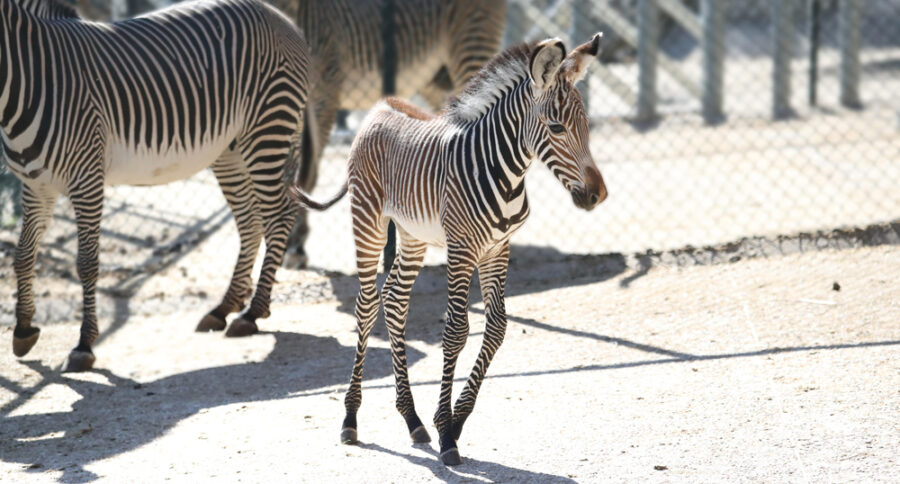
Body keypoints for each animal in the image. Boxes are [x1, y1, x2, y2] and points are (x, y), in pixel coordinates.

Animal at [3, 0, 312, 370]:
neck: (28, 81)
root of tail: (280, 17)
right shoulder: (36, 186)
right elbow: (23, 254)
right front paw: (23, 330)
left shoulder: (86, 179)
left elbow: (87, 263)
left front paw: (84, 345)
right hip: (230, 150)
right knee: (251, 222)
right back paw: (224, 307)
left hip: (267, 129)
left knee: (279, 216)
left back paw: (252, 312)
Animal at [292, 33, 608, 466]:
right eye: (557, 128)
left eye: (587, 126)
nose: (597, 195)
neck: (506, 173)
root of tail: (380, 107)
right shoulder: (461, 248)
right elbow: (457, 331)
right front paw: (446, 432)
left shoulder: (497, 248)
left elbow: (497, 328)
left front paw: (455, 422)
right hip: (367, 222)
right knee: (366, 305)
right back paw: (351, 419)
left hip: (412, 235)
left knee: (395, 301)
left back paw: (411, 419)